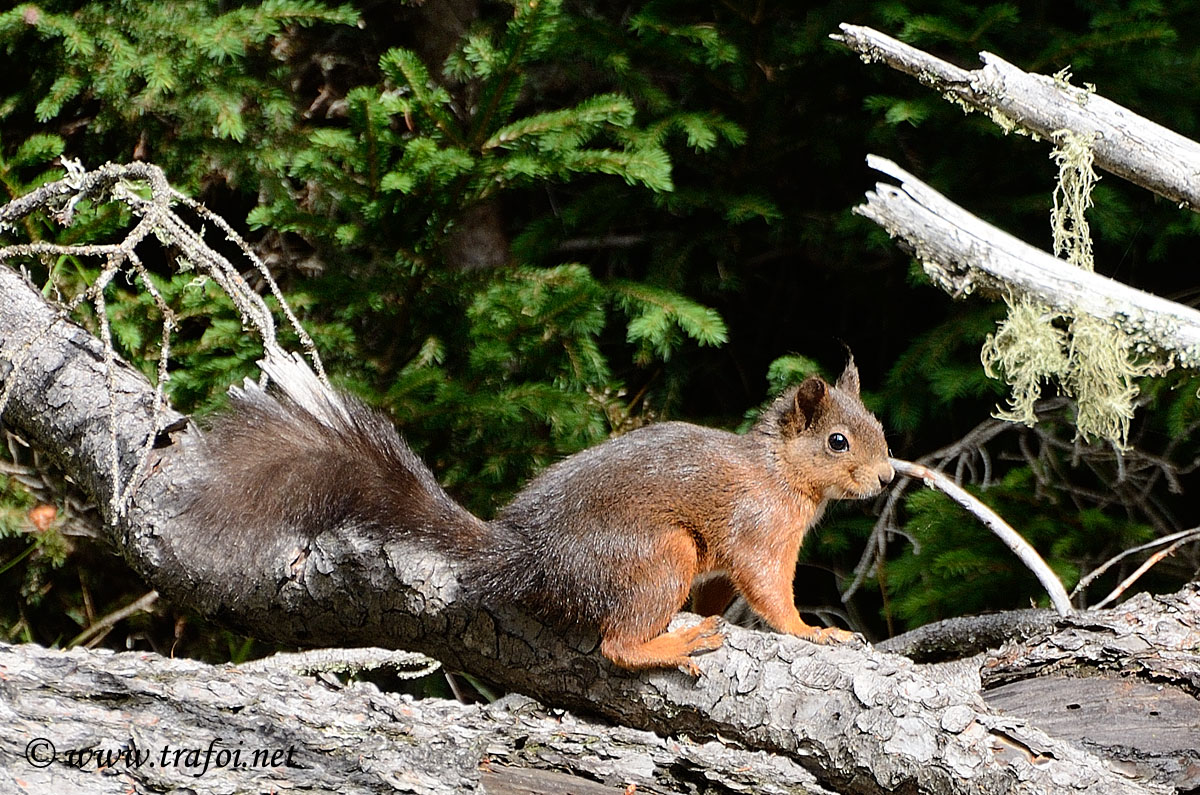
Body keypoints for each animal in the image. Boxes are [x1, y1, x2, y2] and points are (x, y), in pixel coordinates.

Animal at [185, 351, 894, 676]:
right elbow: (772, 594)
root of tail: (526, 557)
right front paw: (814, 633)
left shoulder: (721, 564)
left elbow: (724, 592)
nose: (888, 476)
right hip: (660, 555)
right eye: (838, 442)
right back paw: (672, 643)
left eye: (879, 426)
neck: (780, 474)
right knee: (616, 647)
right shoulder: (757, 533)